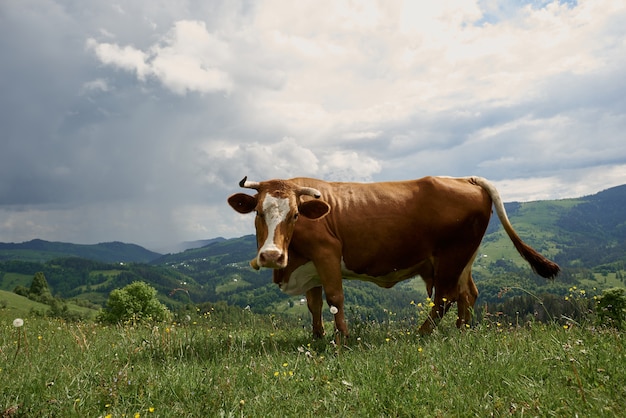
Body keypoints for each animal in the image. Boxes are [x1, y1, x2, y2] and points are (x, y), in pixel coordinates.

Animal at [227, 175, 560, 338]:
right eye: (258, 213)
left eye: (295, 214)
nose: (271, 255)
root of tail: (465, 178)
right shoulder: (308, 266)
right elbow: (314, 304)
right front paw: (317, 337)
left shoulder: (327, 253)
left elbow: (335, 299)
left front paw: (341, 340)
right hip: (464, 257)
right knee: (468, 293)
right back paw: (462, 332)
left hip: (452, 255)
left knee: (446, 297)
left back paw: (420, 334)